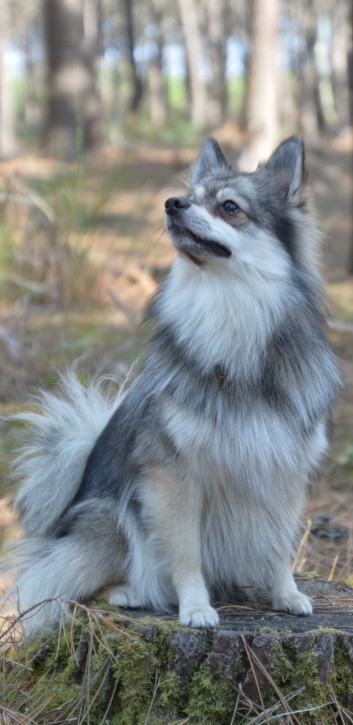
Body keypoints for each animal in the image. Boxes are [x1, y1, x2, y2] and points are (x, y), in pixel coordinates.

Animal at [6, 136, 340, 632]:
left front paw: (286, 594)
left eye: (230, 207)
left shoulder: (283, 471)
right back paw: (128, 592)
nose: (172, 203)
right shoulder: (172, 479)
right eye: (189, 195)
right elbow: (186, 552)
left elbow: (279, 544)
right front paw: (196, 607)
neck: (229, 319)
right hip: (107, 527)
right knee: (61, 585)